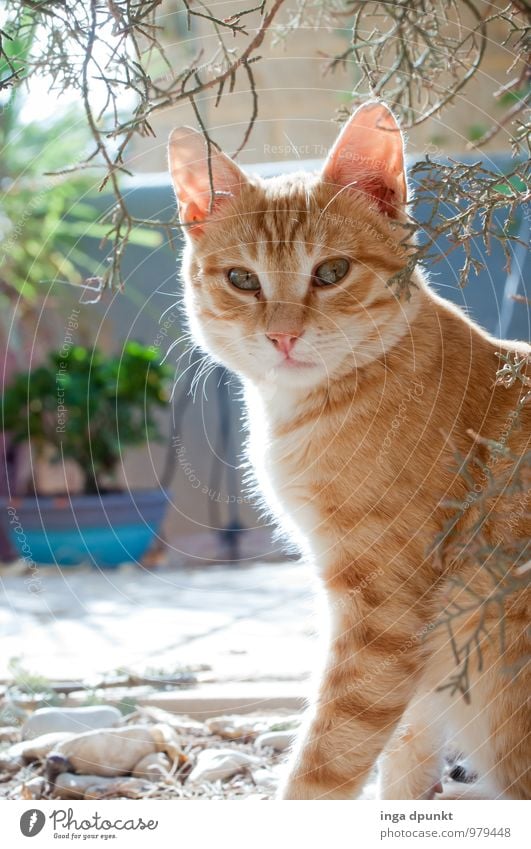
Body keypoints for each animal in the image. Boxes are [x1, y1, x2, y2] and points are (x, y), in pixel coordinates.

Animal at [169, 102, 531, 800]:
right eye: (242, 280)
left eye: (331, 272)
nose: (283, 335)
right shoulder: (413, 656)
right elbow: (405, 753)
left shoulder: (385, 615)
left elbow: (325, 762)